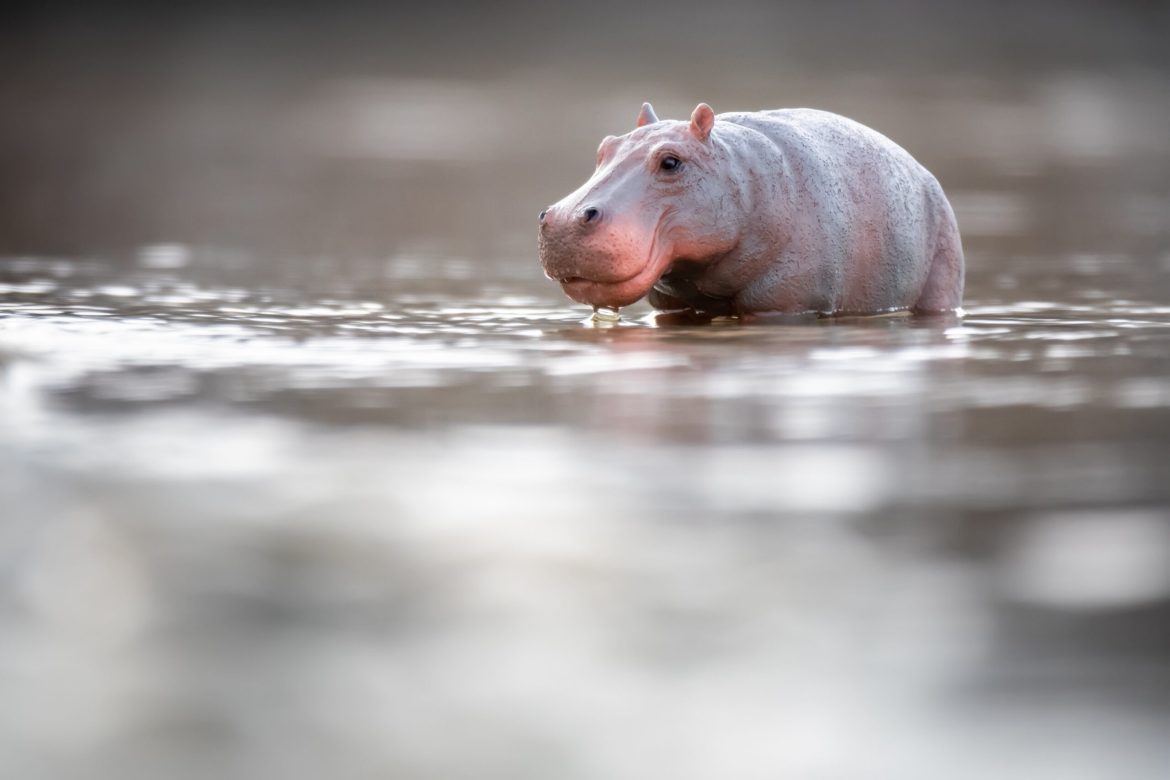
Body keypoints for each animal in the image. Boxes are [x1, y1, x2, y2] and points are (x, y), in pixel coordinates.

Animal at [538, 102, 963, 317]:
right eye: (605, 147)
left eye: (671, 161)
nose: (563, 219)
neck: (734, 168)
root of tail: (924, 172)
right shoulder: (672, 305)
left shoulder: (787, 303)